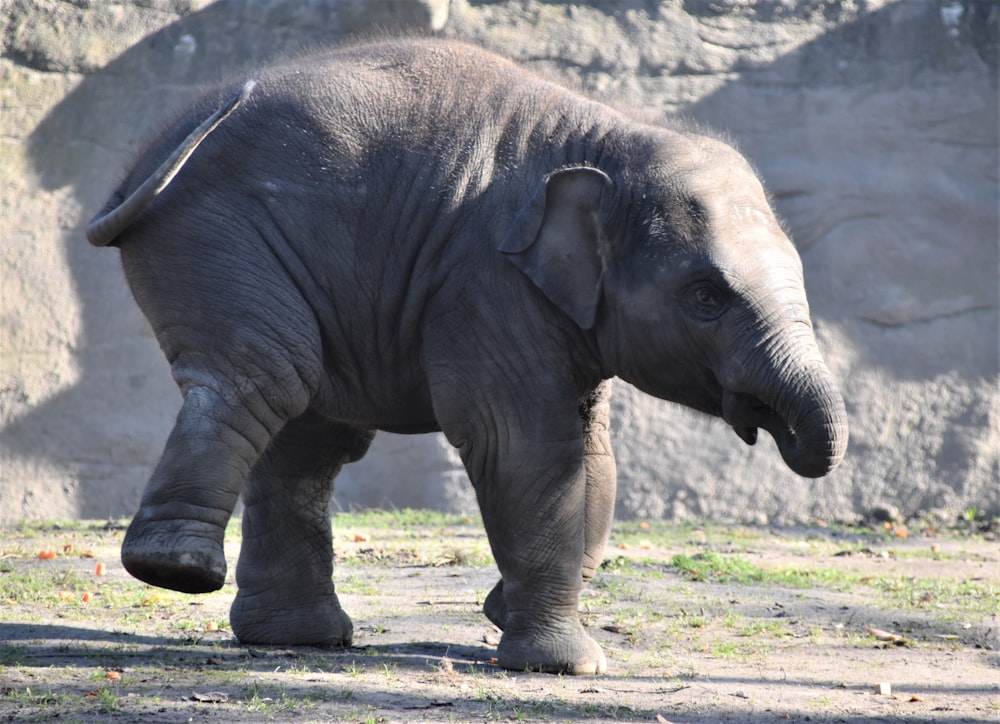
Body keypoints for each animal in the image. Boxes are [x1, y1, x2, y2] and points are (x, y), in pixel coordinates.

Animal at [90, 38, 848, 672]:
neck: (611, 138)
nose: (771, 426)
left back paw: (297, 639)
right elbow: (524, 443)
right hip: (213, 234)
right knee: (267, 376)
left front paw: (504, 612)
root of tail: (167, 137)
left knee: (307, 434)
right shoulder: (486, 278)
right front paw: (565, 667)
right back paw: (178, 571)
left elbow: (590, 449)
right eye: (705, 296)